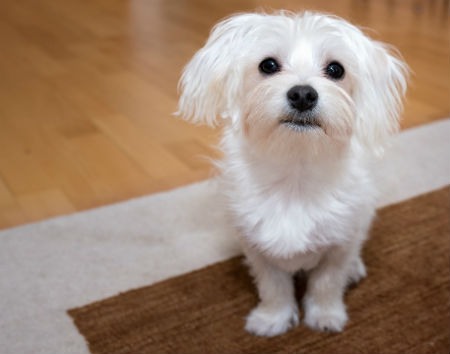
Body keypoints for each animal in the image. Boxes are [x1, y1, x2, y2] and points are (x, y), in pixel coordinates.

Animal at [176, 11, 408, 336]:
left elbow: (326, 284)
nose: (302, 94)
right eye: (268, 65)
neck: (295, 171)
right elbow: (273, 287)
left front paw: (325, 316)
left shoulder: (340, 244)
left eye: (336, 69)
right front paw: (271, 319)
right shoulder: (257, 248)